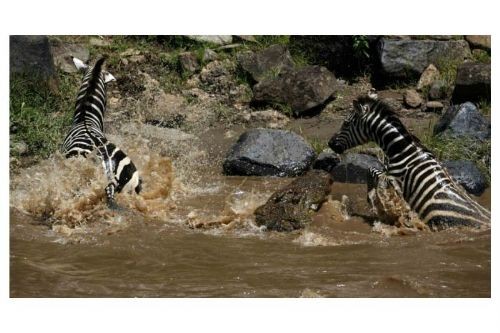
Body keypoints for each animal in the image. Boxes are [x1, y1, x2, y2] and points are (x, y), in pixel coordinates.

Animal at [330, 92, 490, 230]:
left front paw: (374, 201)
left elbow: (371, 171)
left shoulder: (393, 179)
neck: (401, 150)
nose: (330, 144)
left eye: (346, 123)